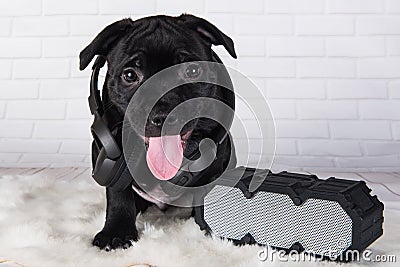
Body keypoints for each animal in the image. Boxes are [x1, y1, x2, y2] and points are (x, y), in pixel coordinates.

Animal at [79, 14, 238, 251]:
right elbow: (118, 193)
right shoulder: (106, 152)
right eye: (130, 75)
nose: (163, 115)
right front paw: (116, 231)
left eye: (192, 71)